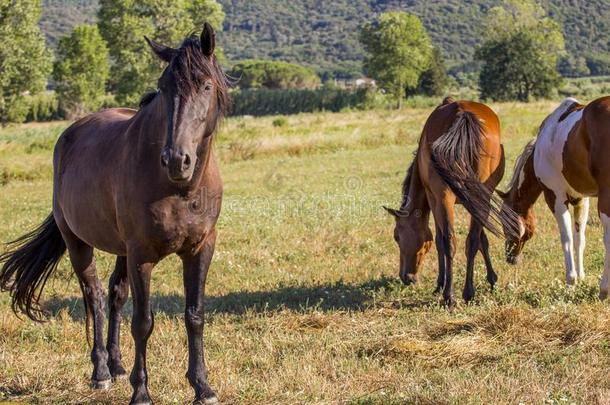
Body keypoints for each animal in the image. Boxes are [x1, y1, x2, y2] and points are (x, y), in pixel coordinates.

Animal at [0, 22, 228, 404]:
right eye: (163, 87)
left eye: (206, 86)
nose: (176, 160)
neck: (179, 189)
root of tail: (70, 133)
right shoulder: (141, 255)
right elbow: (143, 322)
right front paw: (142, 392)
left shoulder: (200, 248)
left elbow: (194, 315)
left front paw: (202, 386)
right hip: (78, 242)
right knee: (94, 296)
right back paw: (101, 372)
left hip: (121, 250)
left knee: (115, 294)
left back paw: (118, 366)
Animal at [382, 98, 516, 306]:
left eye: (397, 236)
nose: (406, 277)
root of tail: (463, 114)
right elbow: (482, 240)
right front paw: (492, 279)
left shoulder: (433, 198)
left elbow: (438, 239)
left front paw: (439, 284)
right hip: (479, 196)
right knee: (470, 241)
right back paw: (467, 292)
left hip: (444, 197)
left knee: (448, 241)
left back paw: (448, 295)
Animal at [496, 94, 608, 296]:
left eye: (503, 220)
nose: (510, 257)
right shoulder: (581, 200)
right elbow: (580, 239)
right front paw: (581, 277)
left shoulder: (555, 197)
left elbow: (567, 238)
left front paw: (571, 280)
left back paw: (604, 289)